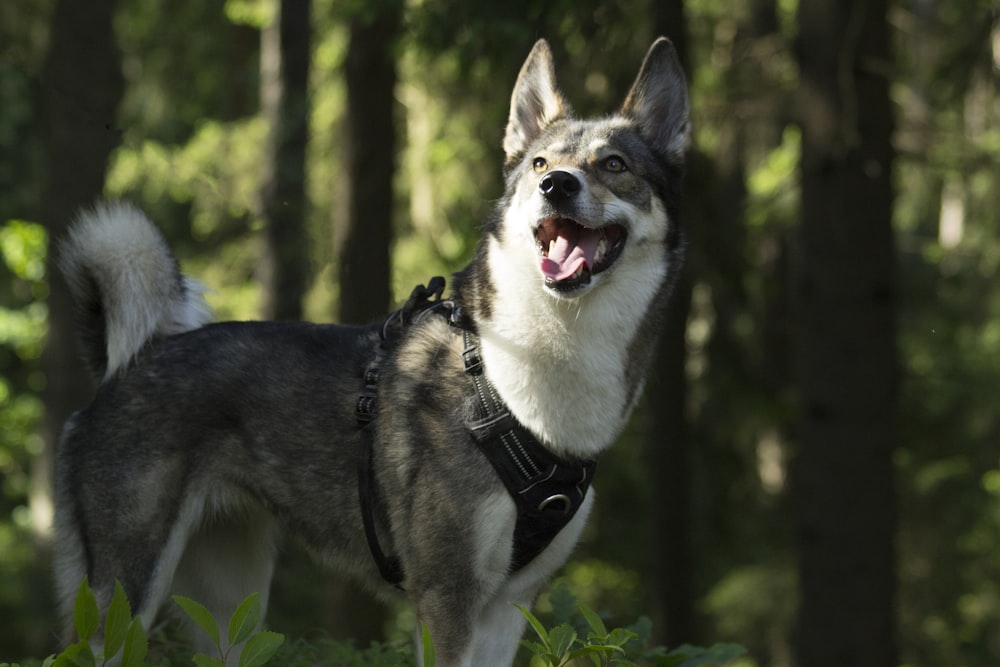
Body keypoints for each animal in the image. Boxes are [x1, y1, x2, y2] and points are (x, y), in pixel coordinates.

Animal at [52, 37, 688, 667]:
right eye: (538, 165)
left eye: (614, 164)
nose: (556, 184)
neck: (512, 378)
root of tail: (126, 367)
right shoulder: (445, 598)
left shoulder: (510, 608)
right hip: (124, 598)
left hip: (232, 611)